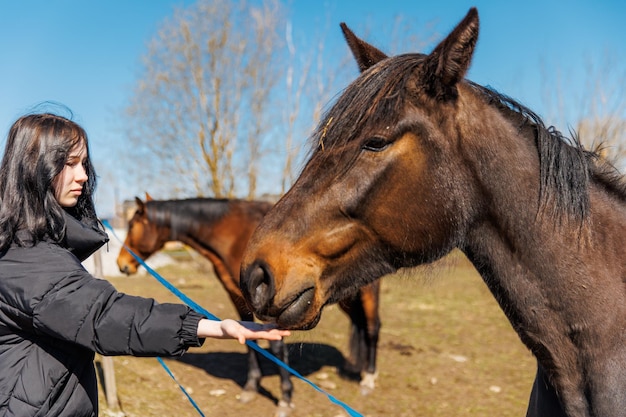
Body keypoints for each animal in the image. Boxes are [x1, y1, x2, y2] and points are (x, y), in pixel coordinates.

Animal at [115, 197, 382, 414]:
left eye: (132, 225)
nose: (122, 264)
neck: (234, 236)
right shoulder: (238, 299)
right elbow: (249, 341)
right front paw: (251, 387)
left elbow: (276, 347)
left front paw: (285, 398)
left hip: (368, 293)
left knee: (372, 327)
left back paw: (369, 379)